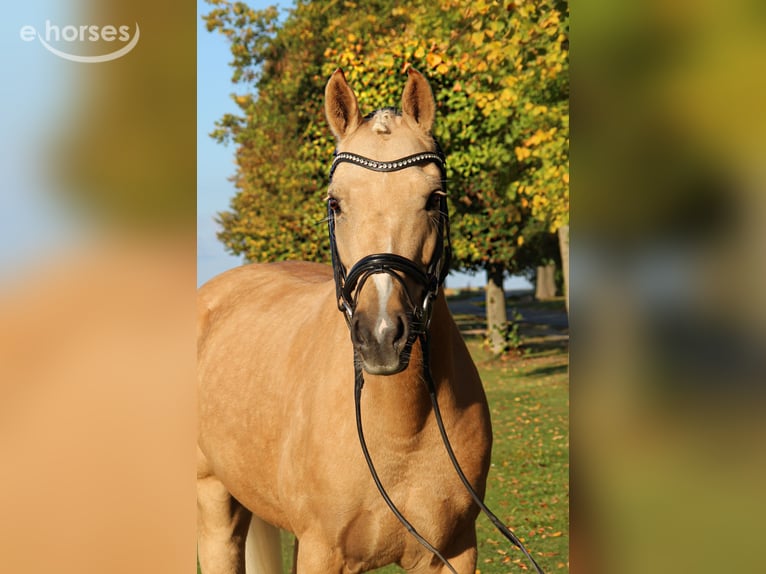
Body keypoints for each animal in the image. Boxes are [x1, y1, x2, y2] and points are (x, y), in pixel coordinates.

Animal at [197, 68, 493, 574]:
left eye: (433, 199)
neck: (401, 429)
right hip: (214, 503)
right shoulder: (323, 552)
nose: (381, 336)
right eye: (335, 204)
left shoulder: (452, 553)